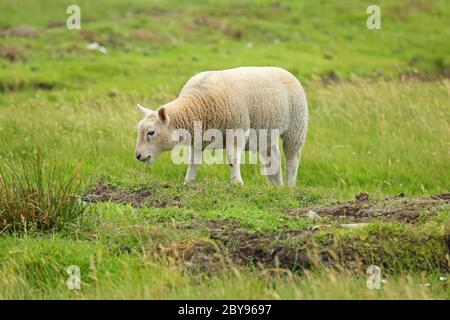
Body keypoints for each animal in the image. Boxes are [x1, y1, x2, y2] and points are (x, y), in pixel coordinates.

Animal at [135, 66, 308, 186]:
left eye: (151, 132)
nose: (137, 156)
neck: (198, 104)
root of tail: (284, 70)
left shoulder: (236, 131)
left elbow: (232, 159)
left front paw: (237, 183)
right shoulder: (198, 138)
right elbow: (193, 162)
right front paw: (188, 182)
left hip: (296, 127)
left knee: (292, 158)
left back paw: (290, 186)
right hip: (265, 133)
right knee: (273, 158)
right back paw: (275, 186)